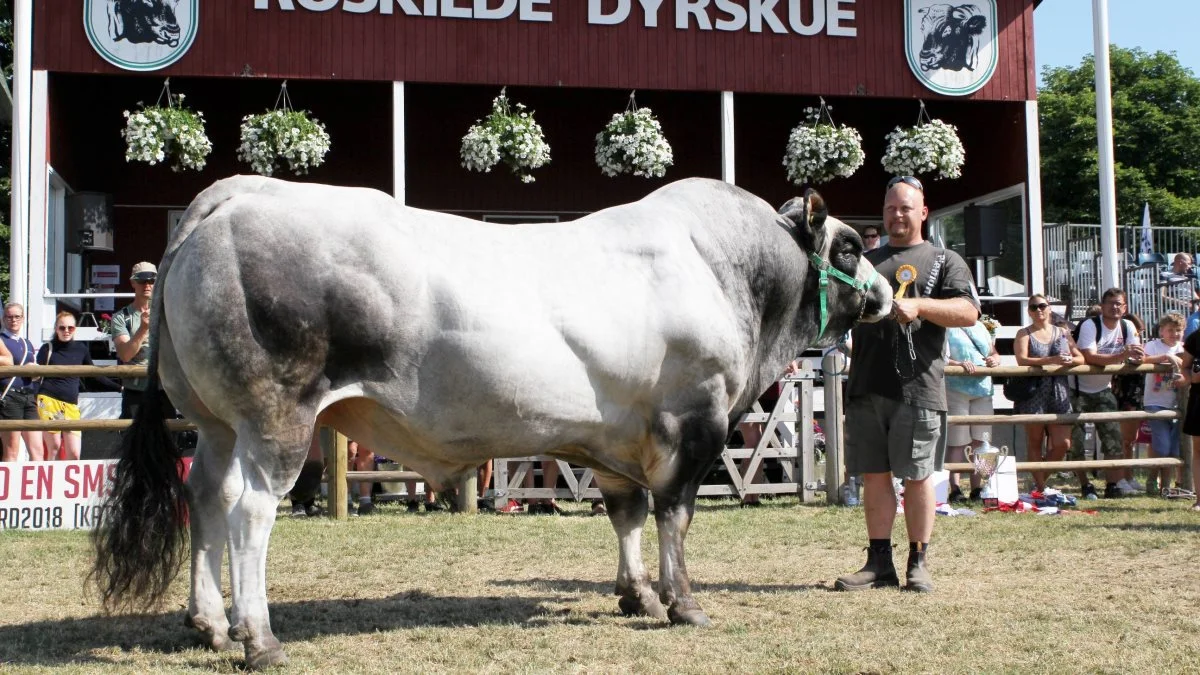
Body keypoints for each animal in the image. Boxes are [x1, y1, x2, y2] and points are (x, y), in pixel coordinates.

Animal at [91, 174, 892, 667]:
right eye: (852, 245)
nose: (889, 293)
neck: (727, 270)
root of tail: (233, 194)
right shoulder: (694, 420)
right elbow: (674, 517)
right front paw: (683, 602)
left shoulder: (615, 434)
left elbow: (626, 514)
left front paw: (634, 593)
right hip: (276, 416)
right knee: (251, 511)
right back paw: (259, 637)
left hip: (214, 422)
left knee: (204, 498)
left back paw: (208, 622)